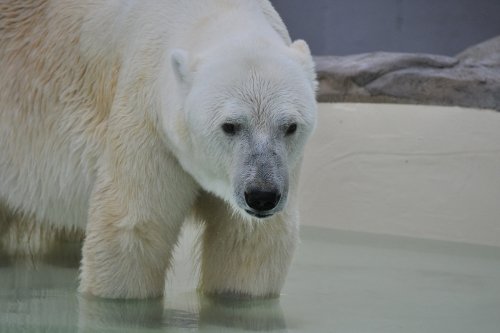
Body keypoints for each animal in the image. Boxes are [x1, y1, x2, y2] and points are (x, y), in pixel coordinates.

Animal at [0, 0, 316, 296]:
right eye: (230, 125)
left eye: (290, 126)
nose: (262, 195)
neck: (214, 11)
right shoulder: (148, 116)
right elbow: (134, 227)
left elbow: (250, 244)